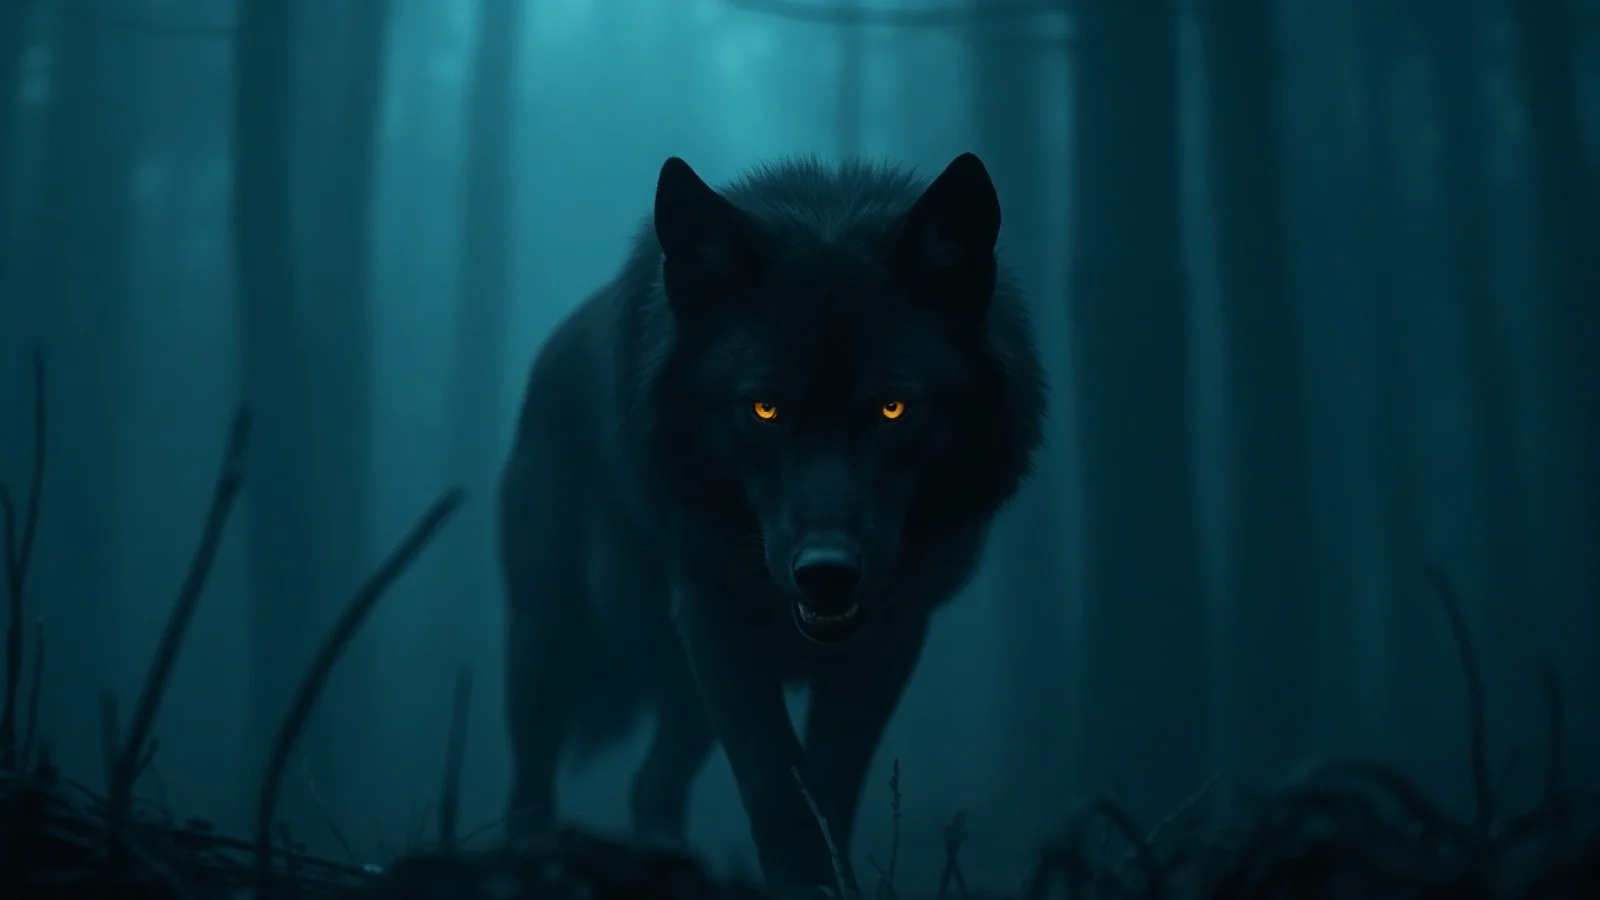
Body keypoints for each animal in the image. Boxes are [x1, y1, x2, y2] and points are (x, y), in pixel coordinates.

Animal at [498, 152, 1046, 891]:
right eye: (764, 409)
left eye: (894, 408)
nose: (827, 574)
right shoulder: (714, 614)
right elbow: (775, 783)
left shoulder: (894, 629)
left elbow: (830, 786)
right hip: (551, 639)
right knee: (531, 782)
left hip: (684, 690)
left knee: (651, 784)